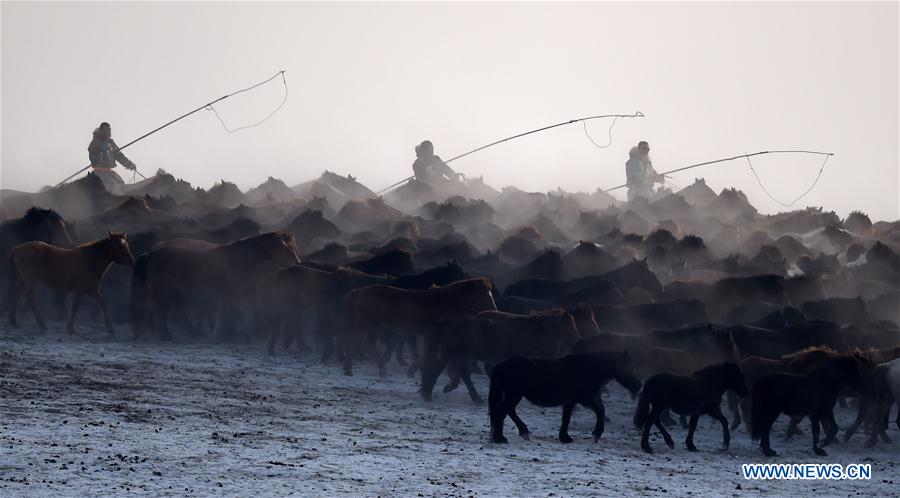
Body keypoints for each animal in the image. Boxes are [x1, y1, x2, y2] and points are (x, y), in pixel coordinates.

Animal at [6, 231, 134, 334]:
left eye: (126, 245)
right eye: (118, 245)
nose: (131, 261)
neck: (90, 261)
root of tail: (17, 249)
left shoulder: (92, 290)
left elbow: (103, 305)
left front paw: (110, 329)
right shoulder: (79, 290)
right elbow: (74, 308)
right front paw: (71, 329)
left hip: (23, 280)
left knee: (16, 295)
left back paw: (13, 321)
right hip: (31, 280)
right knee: (31, 300)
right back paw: (42, 325)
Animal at [342, 276, 496, 378]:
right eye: (485, 295)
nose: (494, 311)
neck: (444, 303)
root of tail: (358, 292)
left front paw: (413, 370)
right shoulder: (432, 334)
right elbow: (425, 354)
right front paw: (413, 370)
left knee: (354, 341)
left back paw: (349, 370)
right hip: (371, 325)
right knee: (365, 343)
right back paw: (381, 370)